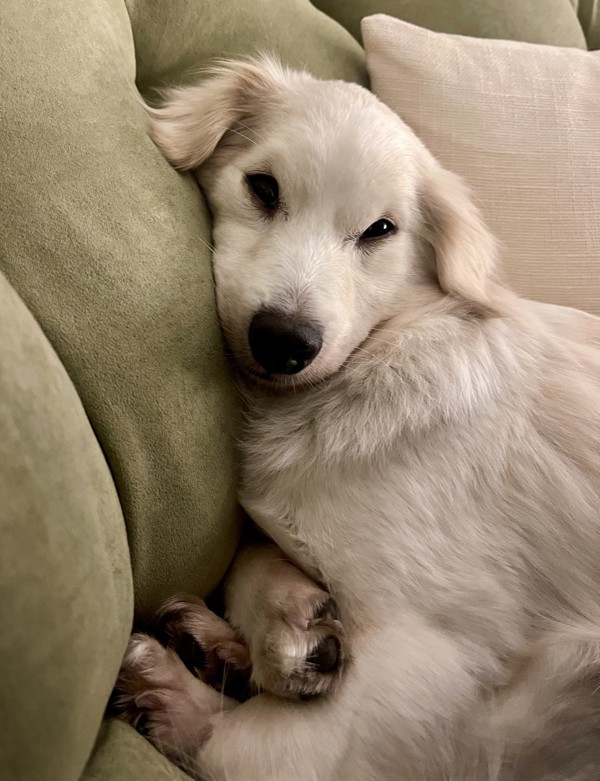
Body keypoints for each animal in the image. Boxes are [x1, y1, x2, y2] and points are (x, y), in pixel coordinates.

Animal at [116, 58, 600, 776]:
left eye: (380, 231)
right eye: (263, 188)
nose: (284, 341)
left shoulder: (428, 654)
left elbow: (244, 749)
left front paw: (184, 695)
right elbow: (254, 556)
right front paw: (279, 624)